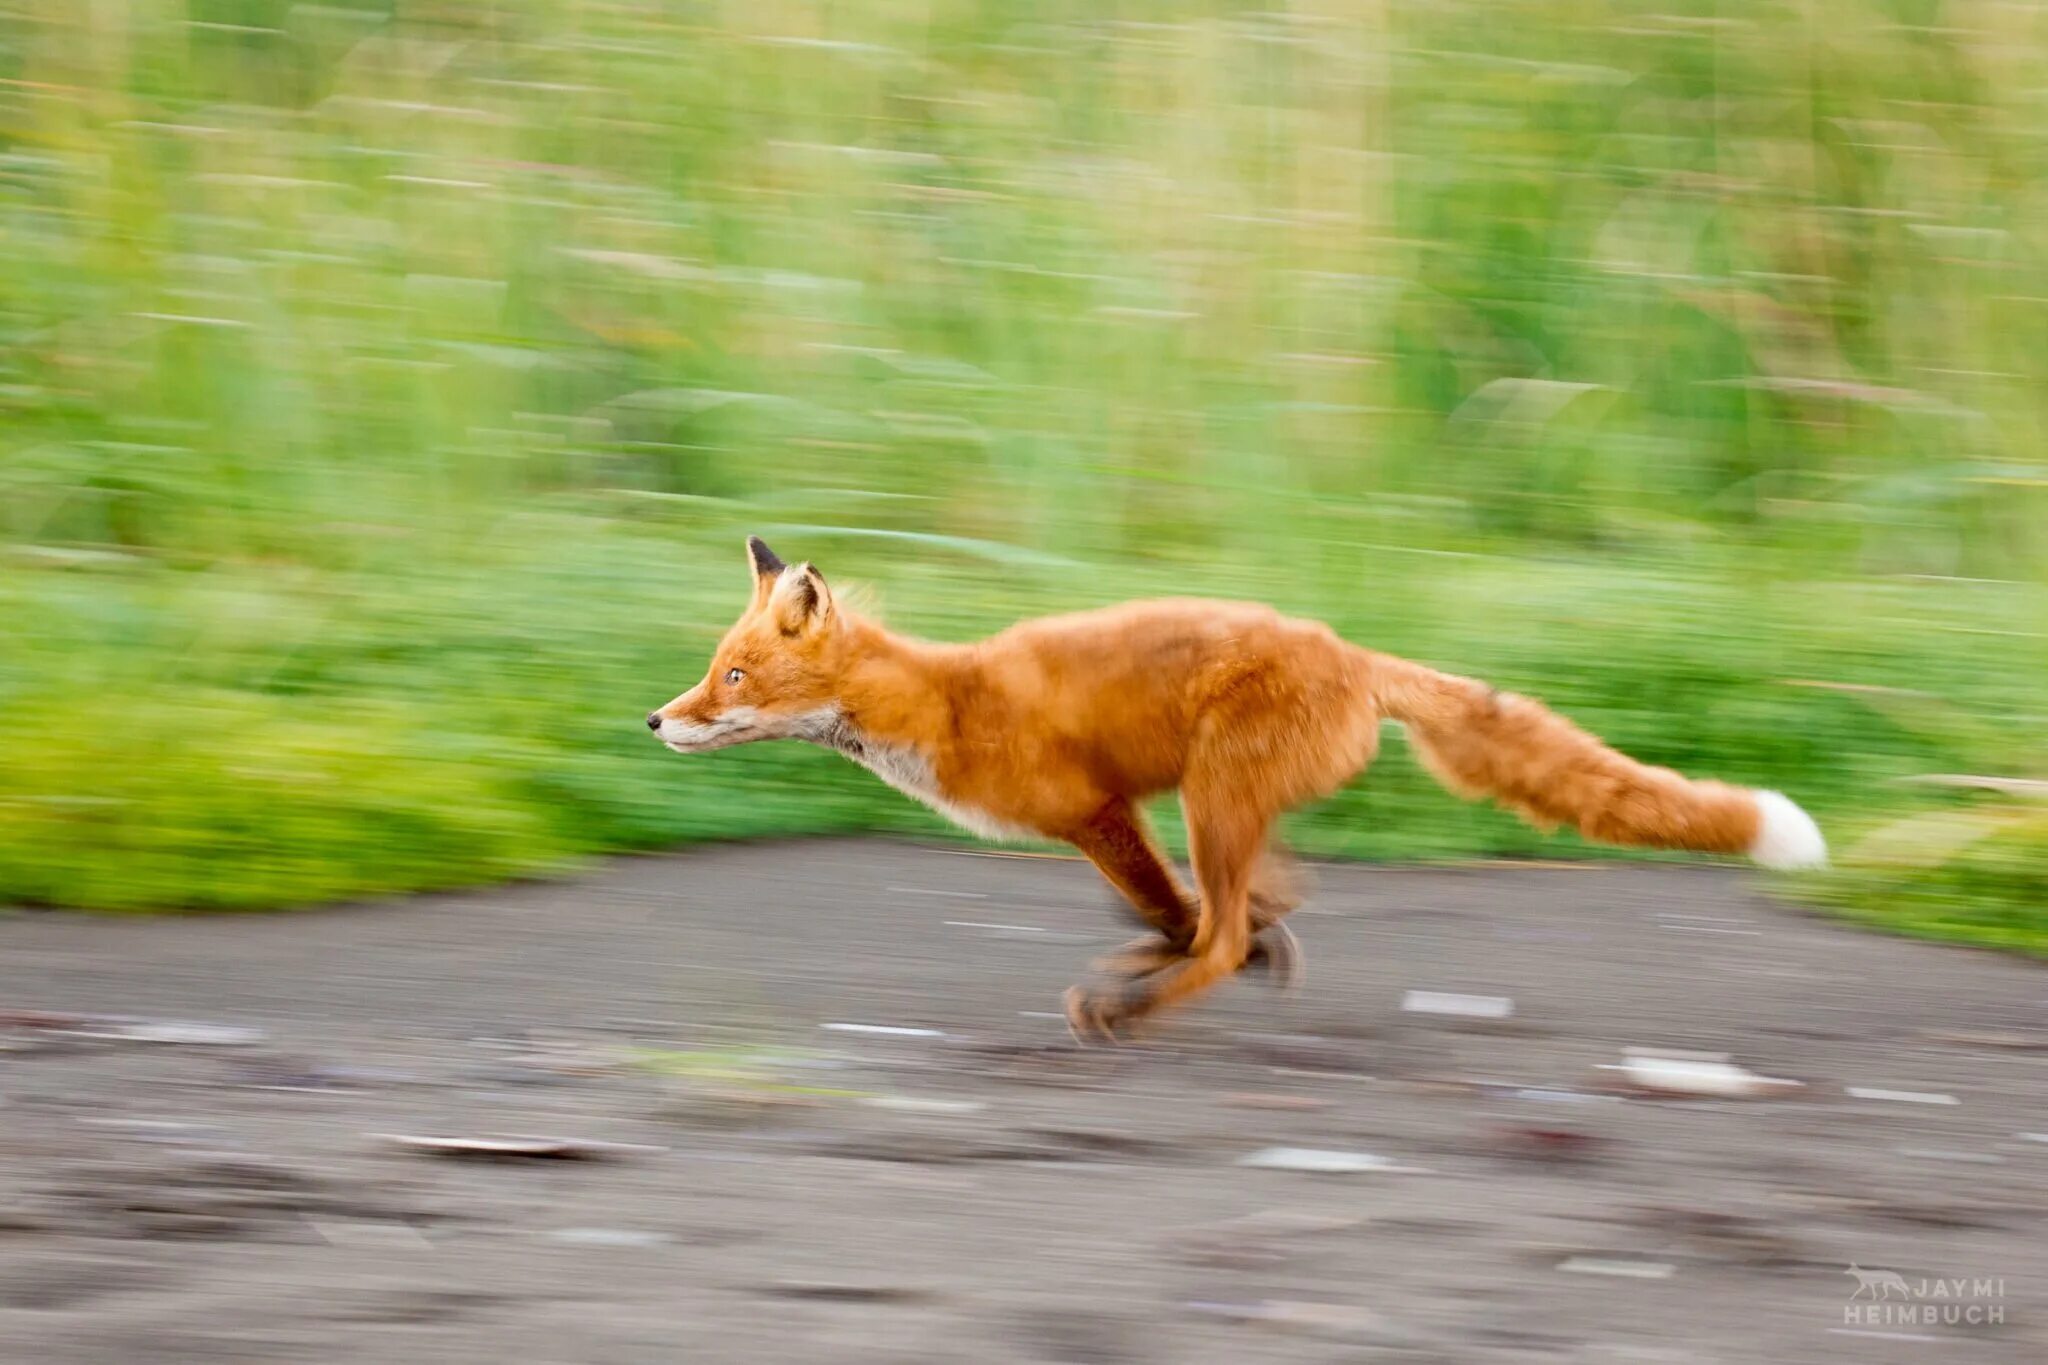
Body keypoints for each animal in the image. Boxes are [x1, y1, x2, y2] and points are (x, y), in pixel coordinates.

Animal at [643, 540, 1826, 1039]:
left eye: (732, 677)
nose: (654, 721)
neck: (942, 703)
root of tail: (1352, 654)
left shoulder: (1095, 813)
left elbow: (1172, 909)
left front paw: (1170, 962)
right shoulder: (1114, 822)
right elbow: (1181, 909)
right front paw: (1238, 946)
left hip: (1211, 796)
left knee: (1212, 930)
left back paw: (1133, 1006)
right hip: (1228, 803)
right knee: (1264, 892)